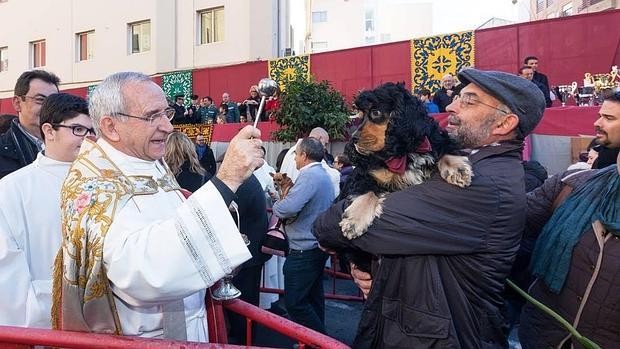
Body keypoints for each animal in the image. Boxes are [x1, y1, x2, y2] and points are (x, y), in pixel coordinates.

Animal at [340, 81, 470, 239]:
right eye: (361, 114)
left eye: (376, 112)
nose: (353, 139)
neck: (403, 153)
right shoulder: (363, 175)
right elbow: (367, 192)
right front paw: (354, 220)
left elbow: (443, 150)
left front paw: (458, 169)